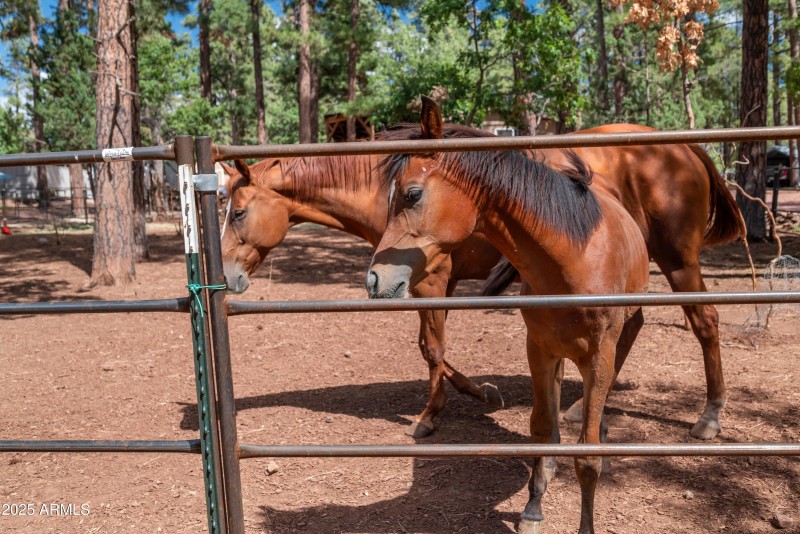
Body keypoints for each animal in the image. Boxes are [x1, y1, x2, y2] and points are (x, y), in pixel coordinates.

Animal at [220, 109, 742, 441]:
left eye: (238, 211)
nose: (226, 276)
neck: (378, 189)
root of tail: (686, 149)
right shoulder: (423, 282)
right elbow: (429, 346)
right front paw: (477, 391)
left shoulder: (432, 280)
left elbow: (432, 348)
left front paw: (431, 416)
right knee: (633, 326)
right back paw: (581, 409)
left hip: (678, 261)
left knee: (706, 323)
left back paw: (709, 416)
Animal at [366, 95, 650, 534]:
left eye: (412, 195)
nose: (375, 278)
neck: (575, 260)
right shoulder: (539, 350)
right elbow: (542, 430)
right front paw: (533, 506)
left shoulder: (598, 357)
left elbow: (588, 457)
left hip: (627, 326)